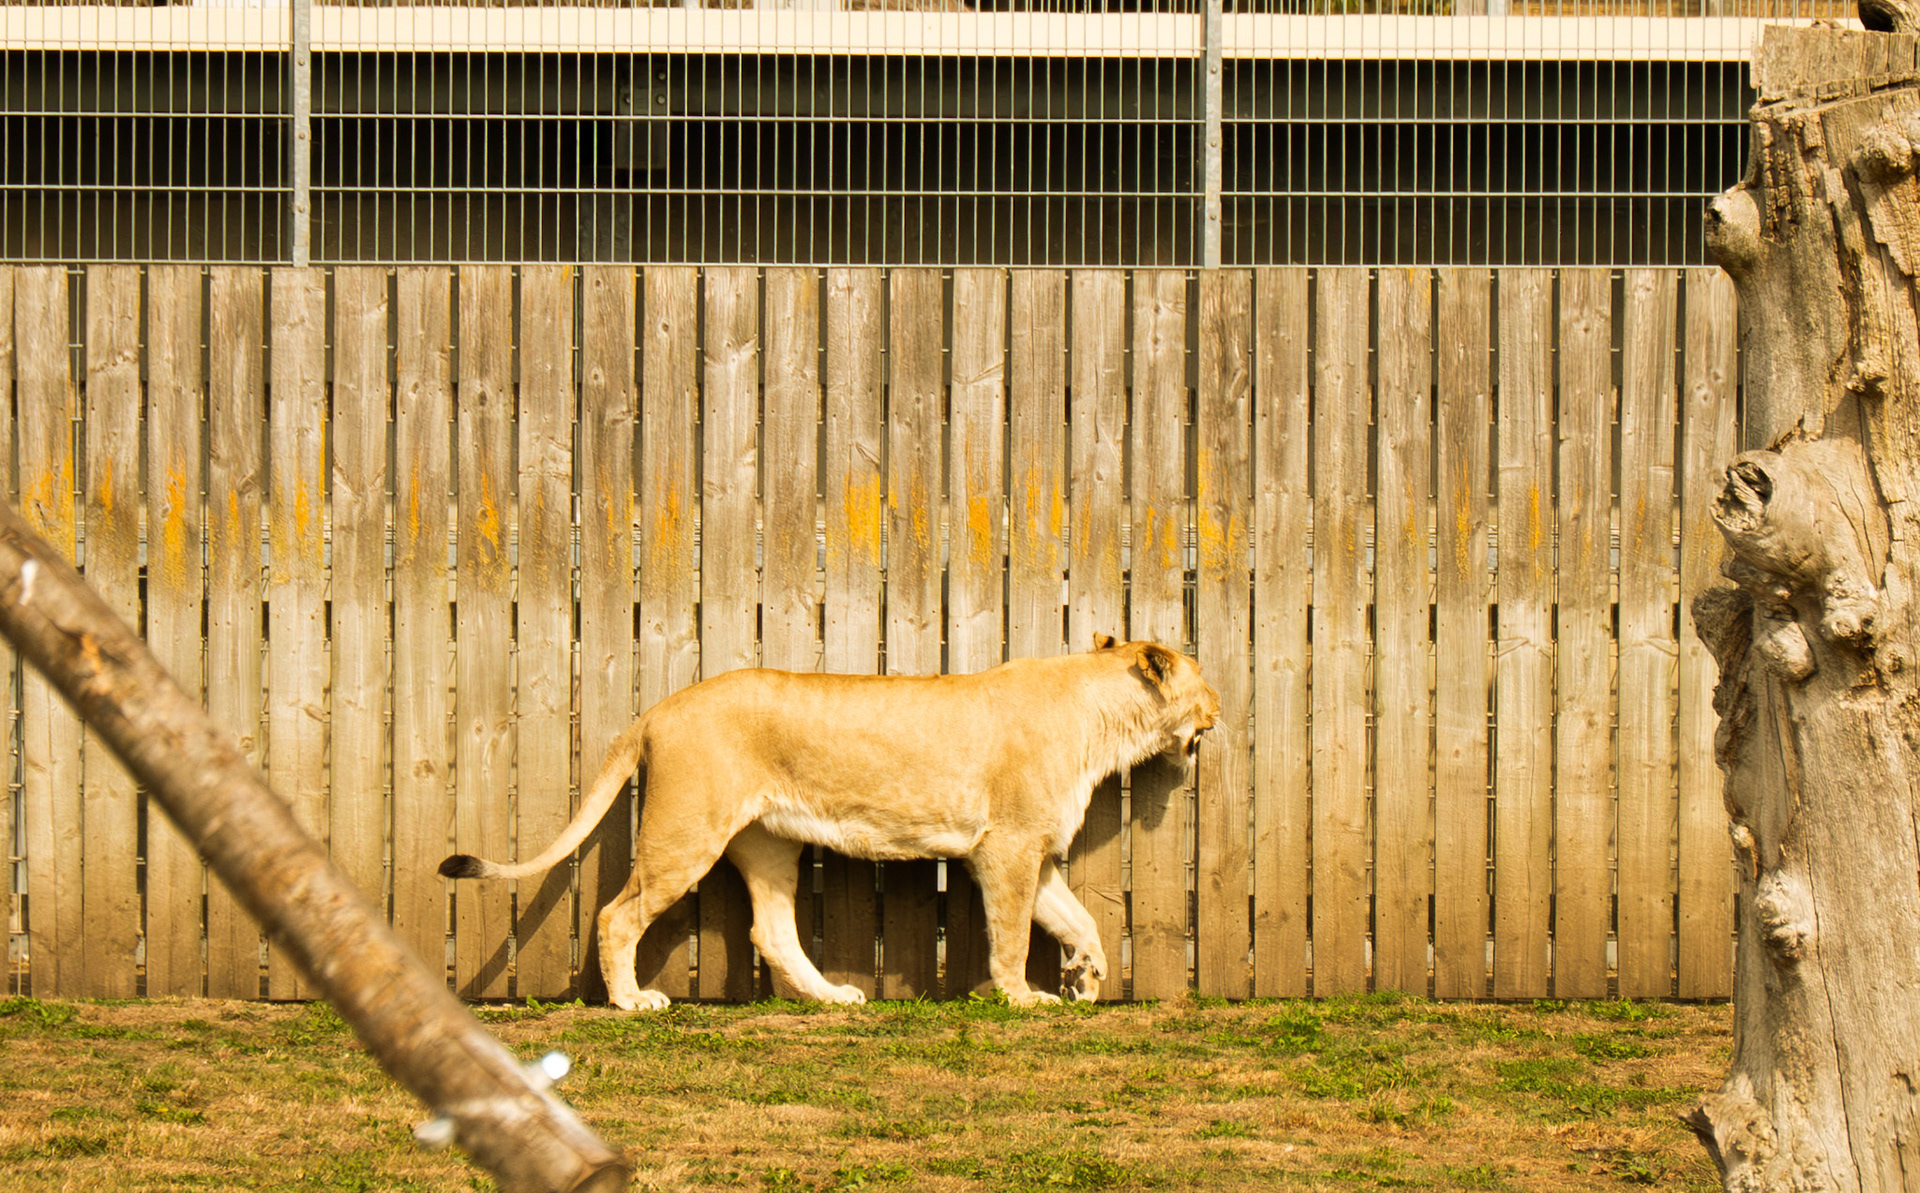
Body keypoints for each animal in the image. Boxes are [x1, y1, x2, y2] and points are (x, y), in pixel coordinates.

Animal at [439, 634, 1220, 1010]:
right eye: (1203, 676)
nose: (1219, 707)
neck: (1104, 723)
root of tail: (656, 709)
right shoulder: (1007, 847)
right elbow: (1012, 933)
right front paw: (1023, 996)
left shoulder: (1034, 851)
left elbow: (1078, 919)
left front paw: (1086, 977)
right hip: (685, 834)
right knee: (616, 914)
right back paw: (633, 1000)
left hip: (767, 845)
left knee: (774, 931)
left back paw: (834, 996)